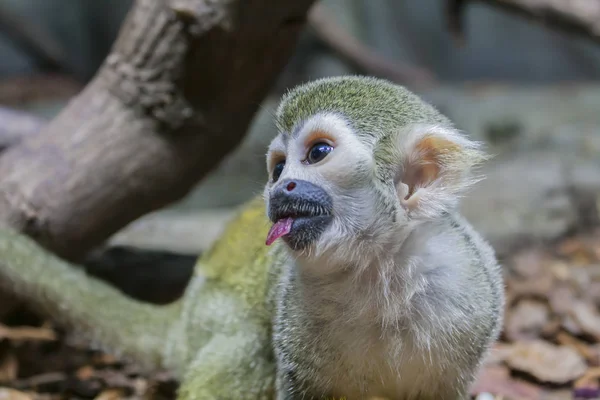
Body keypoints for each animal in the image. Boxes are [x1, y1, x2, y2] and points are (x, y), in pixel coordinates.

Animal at [0, 76, 504, 400]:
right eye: (278, 169)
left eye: (318, 153)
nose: (282, 188)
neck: (379, 271)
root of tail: (184, 310)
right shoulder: (294, 313)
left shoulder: (472, 300)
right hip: (209, 315)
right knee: (247, 343)